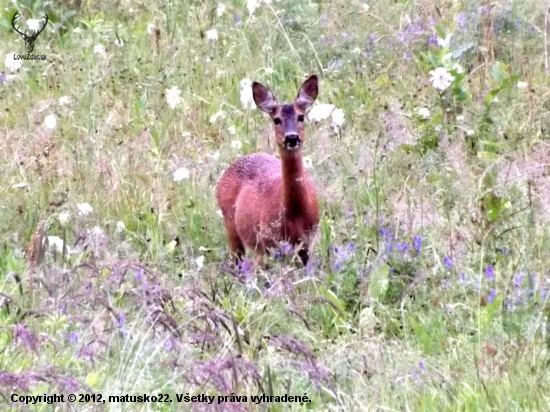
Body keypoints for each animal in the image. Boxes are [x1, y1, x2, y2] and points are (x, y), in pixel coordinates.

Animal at [216, 74, 320, 268]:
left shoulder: (306, 242)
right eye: (276, 119)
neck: (294, 212)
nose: (292, 137)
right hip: (232, 227)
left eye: (301, 117)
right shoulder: (268, 243)